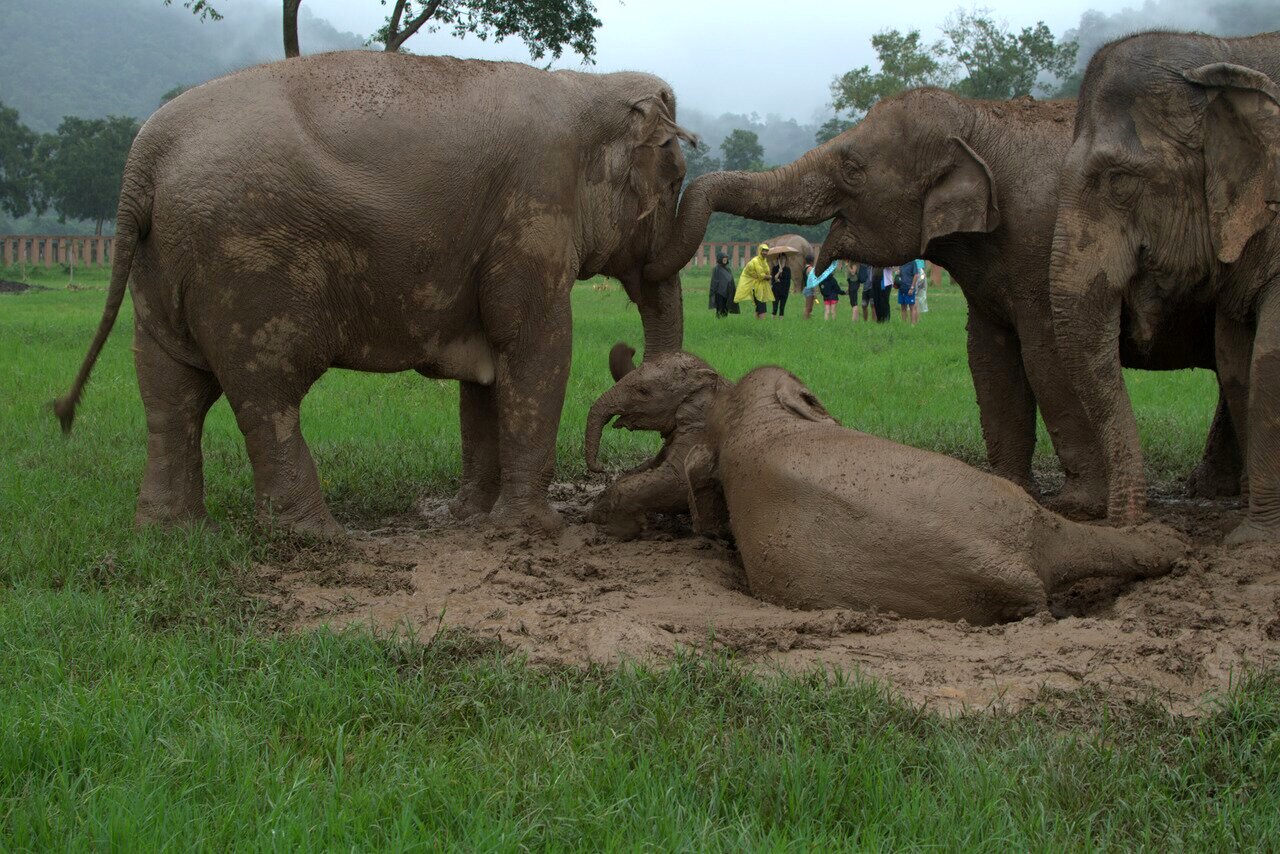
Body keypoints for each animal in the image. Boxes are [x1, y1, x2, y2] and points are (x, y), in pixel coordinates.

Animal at [52, 51, 693, 538]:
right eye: (678, 177)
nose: (628, 351)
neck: (585, 86)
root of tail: (145, 155)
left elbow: (486, 375)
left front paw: (468, 520)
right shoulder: (536, 207)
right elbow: (534, 346)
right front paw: (535, 531)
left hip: (162, 267)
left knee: (171, 393)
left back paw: (173, 534)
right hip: (244, 263)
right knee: (266, 392)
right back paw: (315, 537)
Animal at [644, 86, 1241, 513]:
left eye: (853, 168)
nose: (685, 140)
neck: (982, 119)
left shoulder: (1051, 246)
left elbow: (1047, 357)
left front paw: (1077, 504)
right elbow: (989, 357)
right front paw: (1007, 487)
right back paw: (1210, 490)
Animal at [1048, 32, 1280, 544]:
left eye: (1119, 181)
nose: (1131, 526)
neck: (1226, 55)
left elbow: (1268, 363)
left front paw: (1253, 542)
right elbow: (1236, 362)